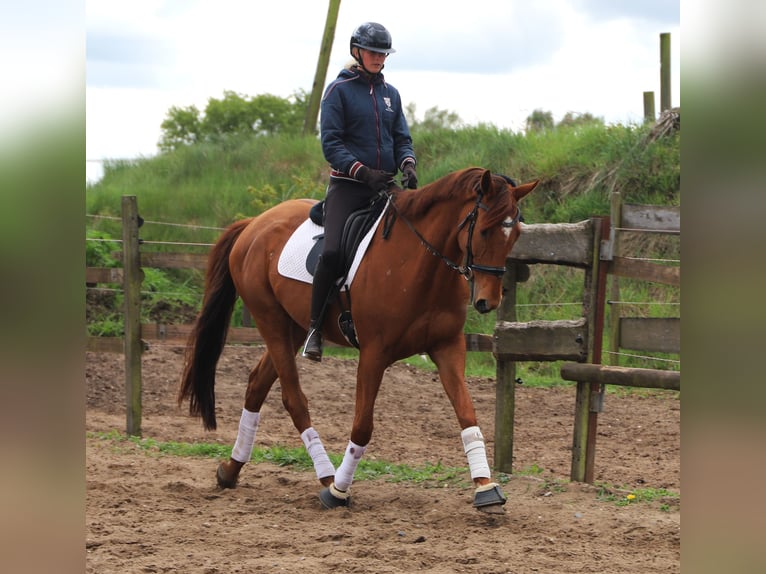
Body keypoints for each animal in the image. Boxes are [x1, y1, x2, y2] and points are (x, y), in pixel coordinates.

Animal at [178, 167, 537, 513]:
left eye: (516, 234)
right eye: (485, 230)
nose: (488, 302)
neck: (421, 265)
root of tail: (254, 224)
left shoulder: (447, 347)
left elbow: (468, 415)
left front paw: (486, 488)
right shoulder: (373, 353)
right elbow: (363, 425)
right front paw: (339, 490)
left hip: (292, 328)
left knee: (256, 385)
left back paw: (231, 469)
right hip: (272, 323)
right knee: (293, 400)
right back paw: (326, 476)